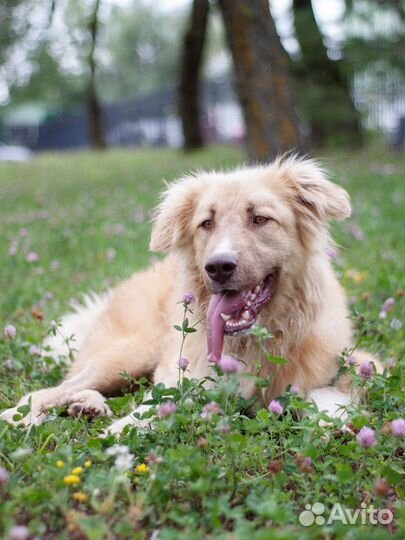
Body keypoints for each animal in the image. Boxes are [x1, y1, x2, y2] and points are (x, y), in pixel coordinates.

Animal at [0, 154, 378, 432]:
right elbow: (160, 405)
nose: (219, 267)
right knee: (52, 389)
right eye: (206, 223)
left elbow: (330, 394)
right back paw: (29, 415)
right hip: (131, 353)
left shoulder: (358, 363)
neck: (252, 343)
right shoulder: (186, 378)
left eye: (259, 219)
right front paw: (124, 429)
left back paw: (88, 405)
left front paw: (336, 422)